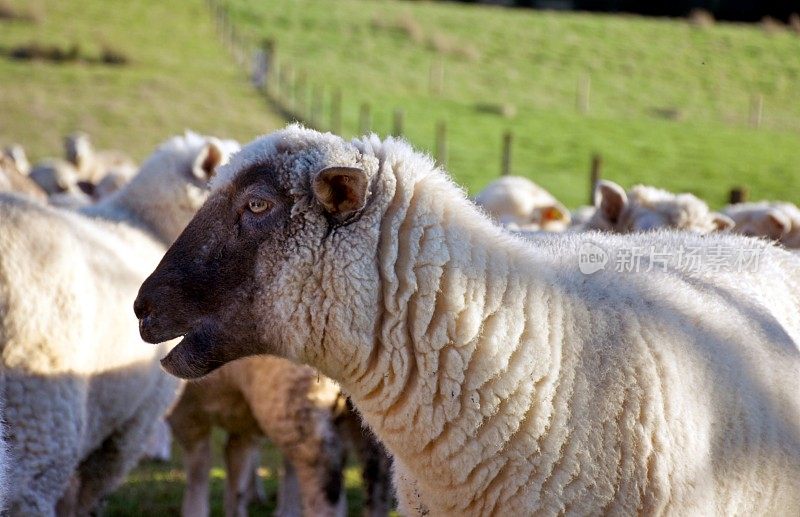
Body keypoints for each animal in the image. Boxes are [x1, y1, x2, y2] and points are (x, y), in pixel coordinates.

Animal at [170, 354, 394, 516]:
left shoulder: (185, 414)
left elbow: (198, 471)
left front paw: (194, 511)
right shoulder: (239, 424)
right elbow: (236, 469)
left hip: (293, 398)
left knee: (322, 481)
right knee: (377, 470)